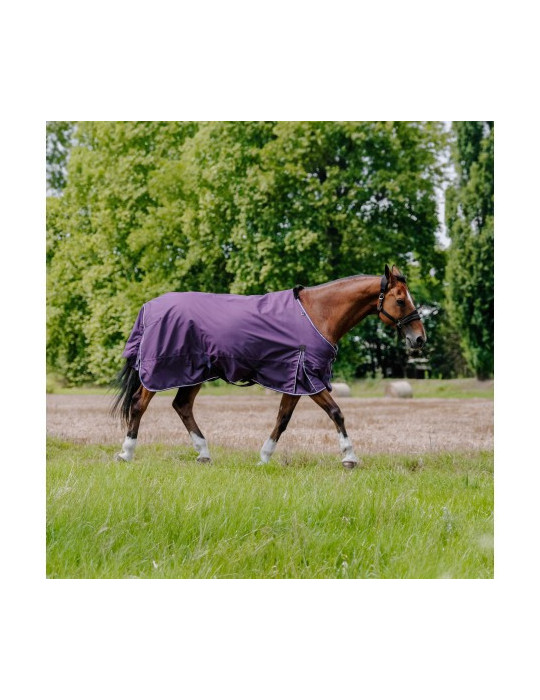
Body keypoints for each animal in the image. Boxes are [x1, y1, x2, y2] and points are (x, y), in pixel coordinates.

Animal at [111, 265, 426, 469]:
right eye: (401, 300)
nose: (419, 338)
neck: (318, 314)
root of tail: (148, 308)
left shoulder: (295, 379)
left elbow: (283, 419)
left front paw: (264, 457)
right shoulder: (308, 378)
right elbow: (336, 413)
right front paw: (349, 457)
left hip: (194, 373)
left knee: (182, 406)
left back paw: (203, 453)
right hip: (160, 372)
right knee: (139, 404)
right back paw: (126, 453)